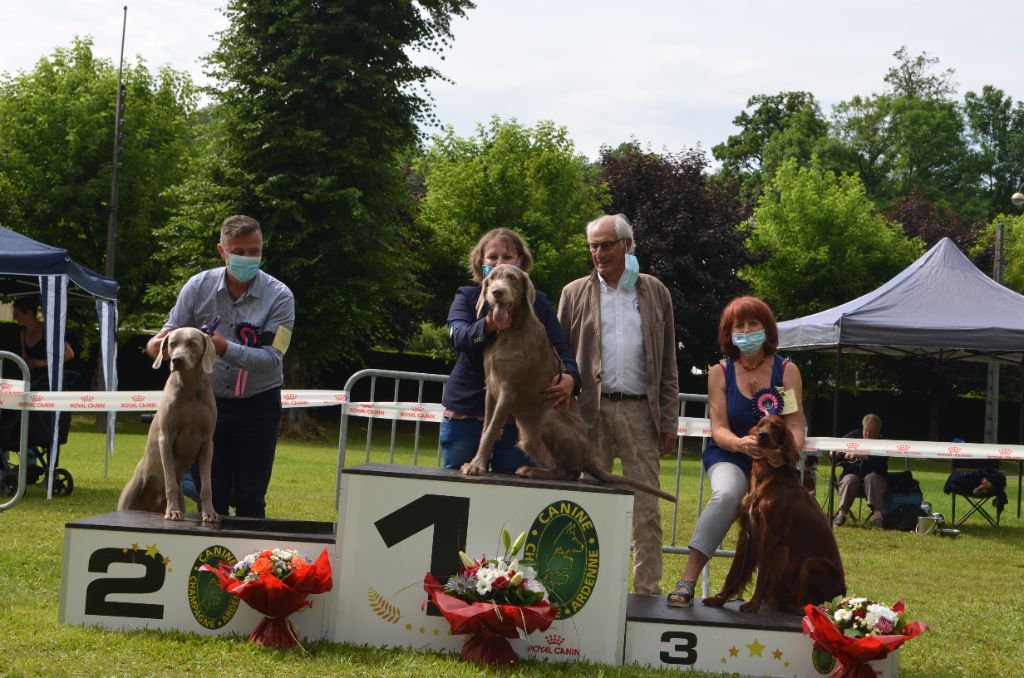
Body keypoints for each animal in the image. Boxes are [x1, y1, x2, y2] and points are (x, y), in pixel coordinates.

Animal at [117, 327, 219, 522]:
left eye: (192, 343)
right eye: (172, 343)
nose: (177, 360)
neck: (189, 388)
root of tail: (149, 507)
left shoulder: (207, 443)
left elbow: (207, 486)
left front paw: (210, 513)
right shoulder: (166, 438)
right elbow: (170, 481)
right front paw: (172, 512)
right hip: (131, 494)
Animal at [460, 266, 675, 503]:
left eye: (512, 278)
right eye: (491, 279)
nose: (497, 292)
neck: (509, 331)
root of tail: (589, 457)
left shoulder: (508, 388)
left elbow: (491, 430)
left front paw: (476, 465)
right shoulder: (491, 389)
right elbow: (486, 428)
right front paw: (477, 461)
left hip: (549, 418)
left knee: (570, 472)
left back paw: (533, 471)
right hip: (528, 439)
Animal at [704, 413, 847, 614]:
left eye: (776, 427)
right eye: (760, 424)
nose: (762, 435)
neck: (766, 476)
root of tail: (844, 595)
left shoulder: (772, 536)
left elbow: (763, 574)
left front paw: (753, 604)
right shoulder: (748, 532)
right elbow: (736, 571)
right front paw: (720, 599)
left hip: (812, 563)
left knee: (814, 602)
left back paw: (798, 608)